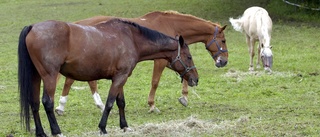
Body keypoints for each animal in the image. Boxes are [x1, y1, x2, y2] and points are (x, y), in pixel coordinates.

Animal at [18, 19, 199, 136]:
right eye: (189, 57)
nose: (195, 79)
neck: (131, 39)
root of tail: (32, 27)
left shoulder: (120, 78)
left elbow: (121, 102)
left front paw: (124, 126)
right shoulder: (120, 78)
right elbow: (110, 103)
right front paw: (103, 128)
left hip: (36, 76)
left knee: (34, 103)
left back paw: (41, 132)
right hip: (49, 76)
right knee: (47, 102)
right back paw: (56, 132)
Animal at [56, 10, 229, 115]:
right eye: (223, 40)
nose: (224, 61)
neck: (171, 25)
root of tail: (79, 24)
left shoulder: (172, 59)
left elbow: (185, 74)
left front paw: (184, 97)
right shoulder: (160, 61)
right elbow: (155, 82)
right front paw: (152, 105)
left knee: (75, 80)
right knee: (78, 80)